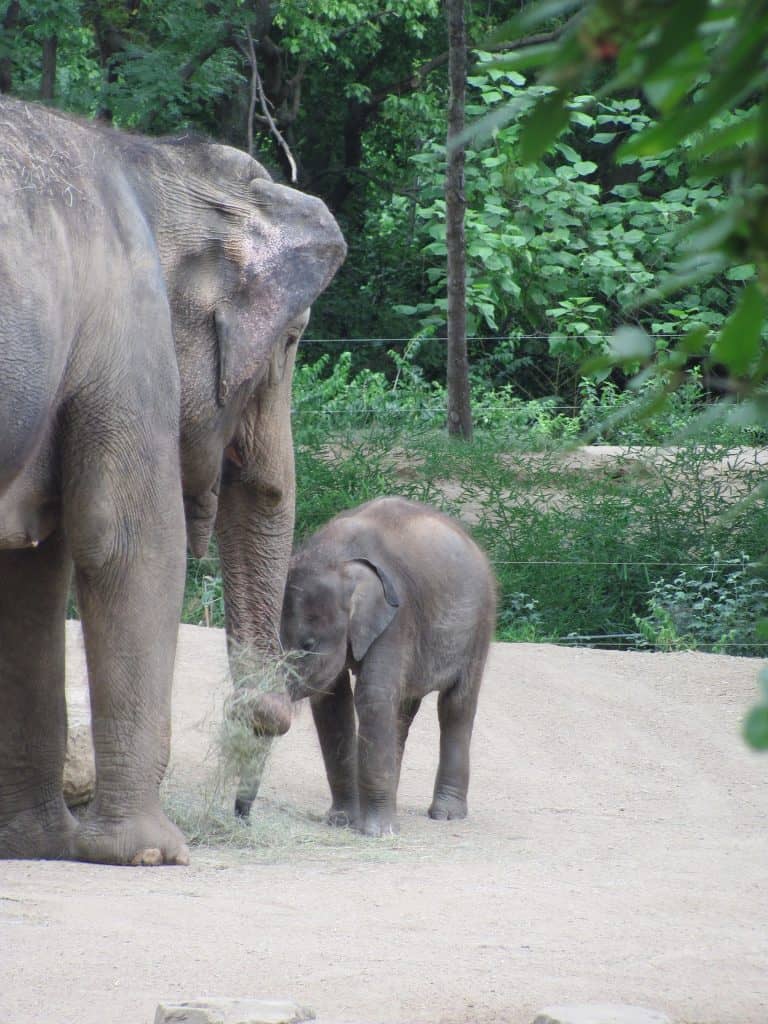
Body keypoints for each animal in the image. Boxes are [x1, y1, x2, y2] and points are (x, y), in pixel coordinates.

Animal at [0, 96, 346, 864]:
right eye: (292, 340)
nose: (265, 712)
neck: (149, 157)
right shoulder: (127, 329)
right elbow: (131, 544)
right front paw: (153, 853)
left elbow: (32, 576)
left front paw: (38, 844)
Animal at [280, 497, 495, 839]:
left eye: (308, 644)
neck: (337, 557)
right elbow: (331, 703)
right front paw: (342, 821)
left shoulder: (397, 616)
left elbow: (373, 697)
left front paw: (377, 833)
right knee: (403, 709)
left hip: (480, 622)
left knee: (456, 705)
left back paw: (446, 815)